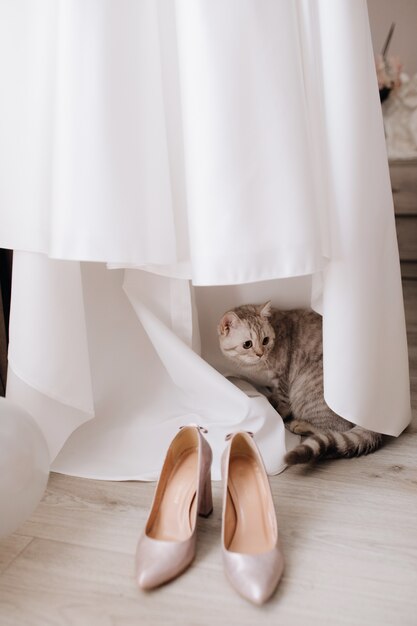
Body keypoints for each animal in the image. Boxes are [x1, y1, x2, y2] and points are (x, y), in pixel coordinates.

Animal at [218, 302, 384, 464]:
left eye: (265, 340)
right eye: (247, 344)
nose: (260, 354)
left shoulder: (282, 378)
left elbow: (283, 404)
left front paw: (278, 413)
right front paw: (271, 398)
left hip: (304, 387)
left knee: (336, 429)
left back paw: (300, 425)